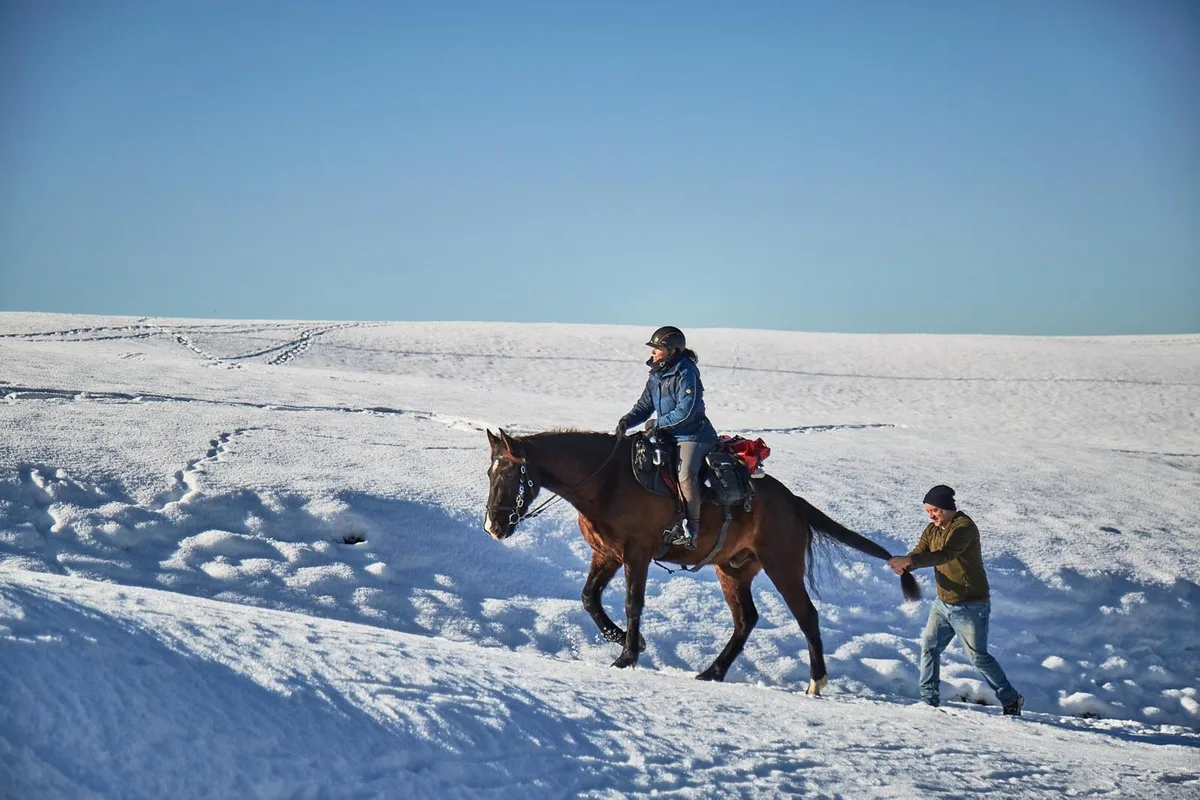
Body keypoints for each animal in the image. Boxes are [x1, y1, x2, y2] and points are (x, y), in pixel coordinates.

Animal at [484, 428, 920, 695]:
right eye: (490, 473)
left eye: (508, 474)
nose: (492, 525)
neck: (606, 482)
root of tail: (793, 503)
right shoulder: (605, 554)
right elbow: (589, 598)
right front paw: (625, 641)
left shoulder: (637, 554)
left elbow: (632, 603)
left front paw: (627, 655)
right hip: (733, 569)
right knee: (746, 620)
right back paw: (713, 670)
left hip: (782, 565)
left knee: (806, 617)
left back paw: (816, 682)